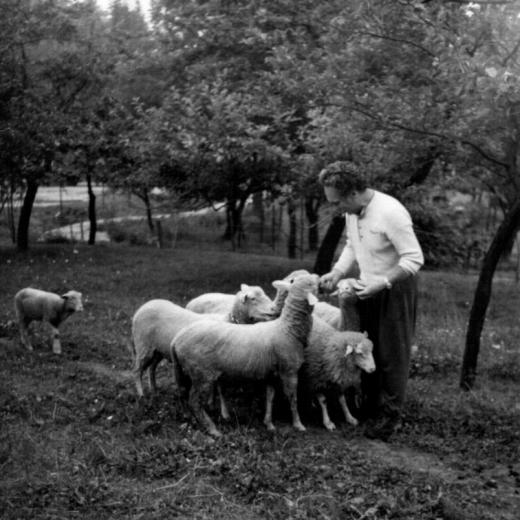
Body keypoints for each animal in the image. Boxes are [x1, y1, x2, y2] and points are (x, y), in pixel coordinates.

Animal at [130, 286, 276, 400]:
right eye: (253, 299)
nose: (274, 310)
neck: (230, 320)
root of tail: (143, 307)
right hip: (143, 346)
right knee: (137, 371)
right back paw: (141, 395)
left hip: (157, 349)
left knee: (151, 368)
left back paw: (154, 390)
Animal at [170, 274, 320, 436]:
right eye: (310, 284)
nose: (317, 276)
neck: (287, 328)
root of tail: (177, 340)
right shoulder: (289, 371)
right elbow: (293, 399)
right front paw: (298, 424)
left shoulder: (271, 374)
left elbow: (270, 398)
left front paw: (269, 423)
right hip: (202, 374)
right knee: (194, 402)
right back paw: (212, 429)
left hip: (183, 370)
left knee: (182, 393)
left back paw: (188, 418)